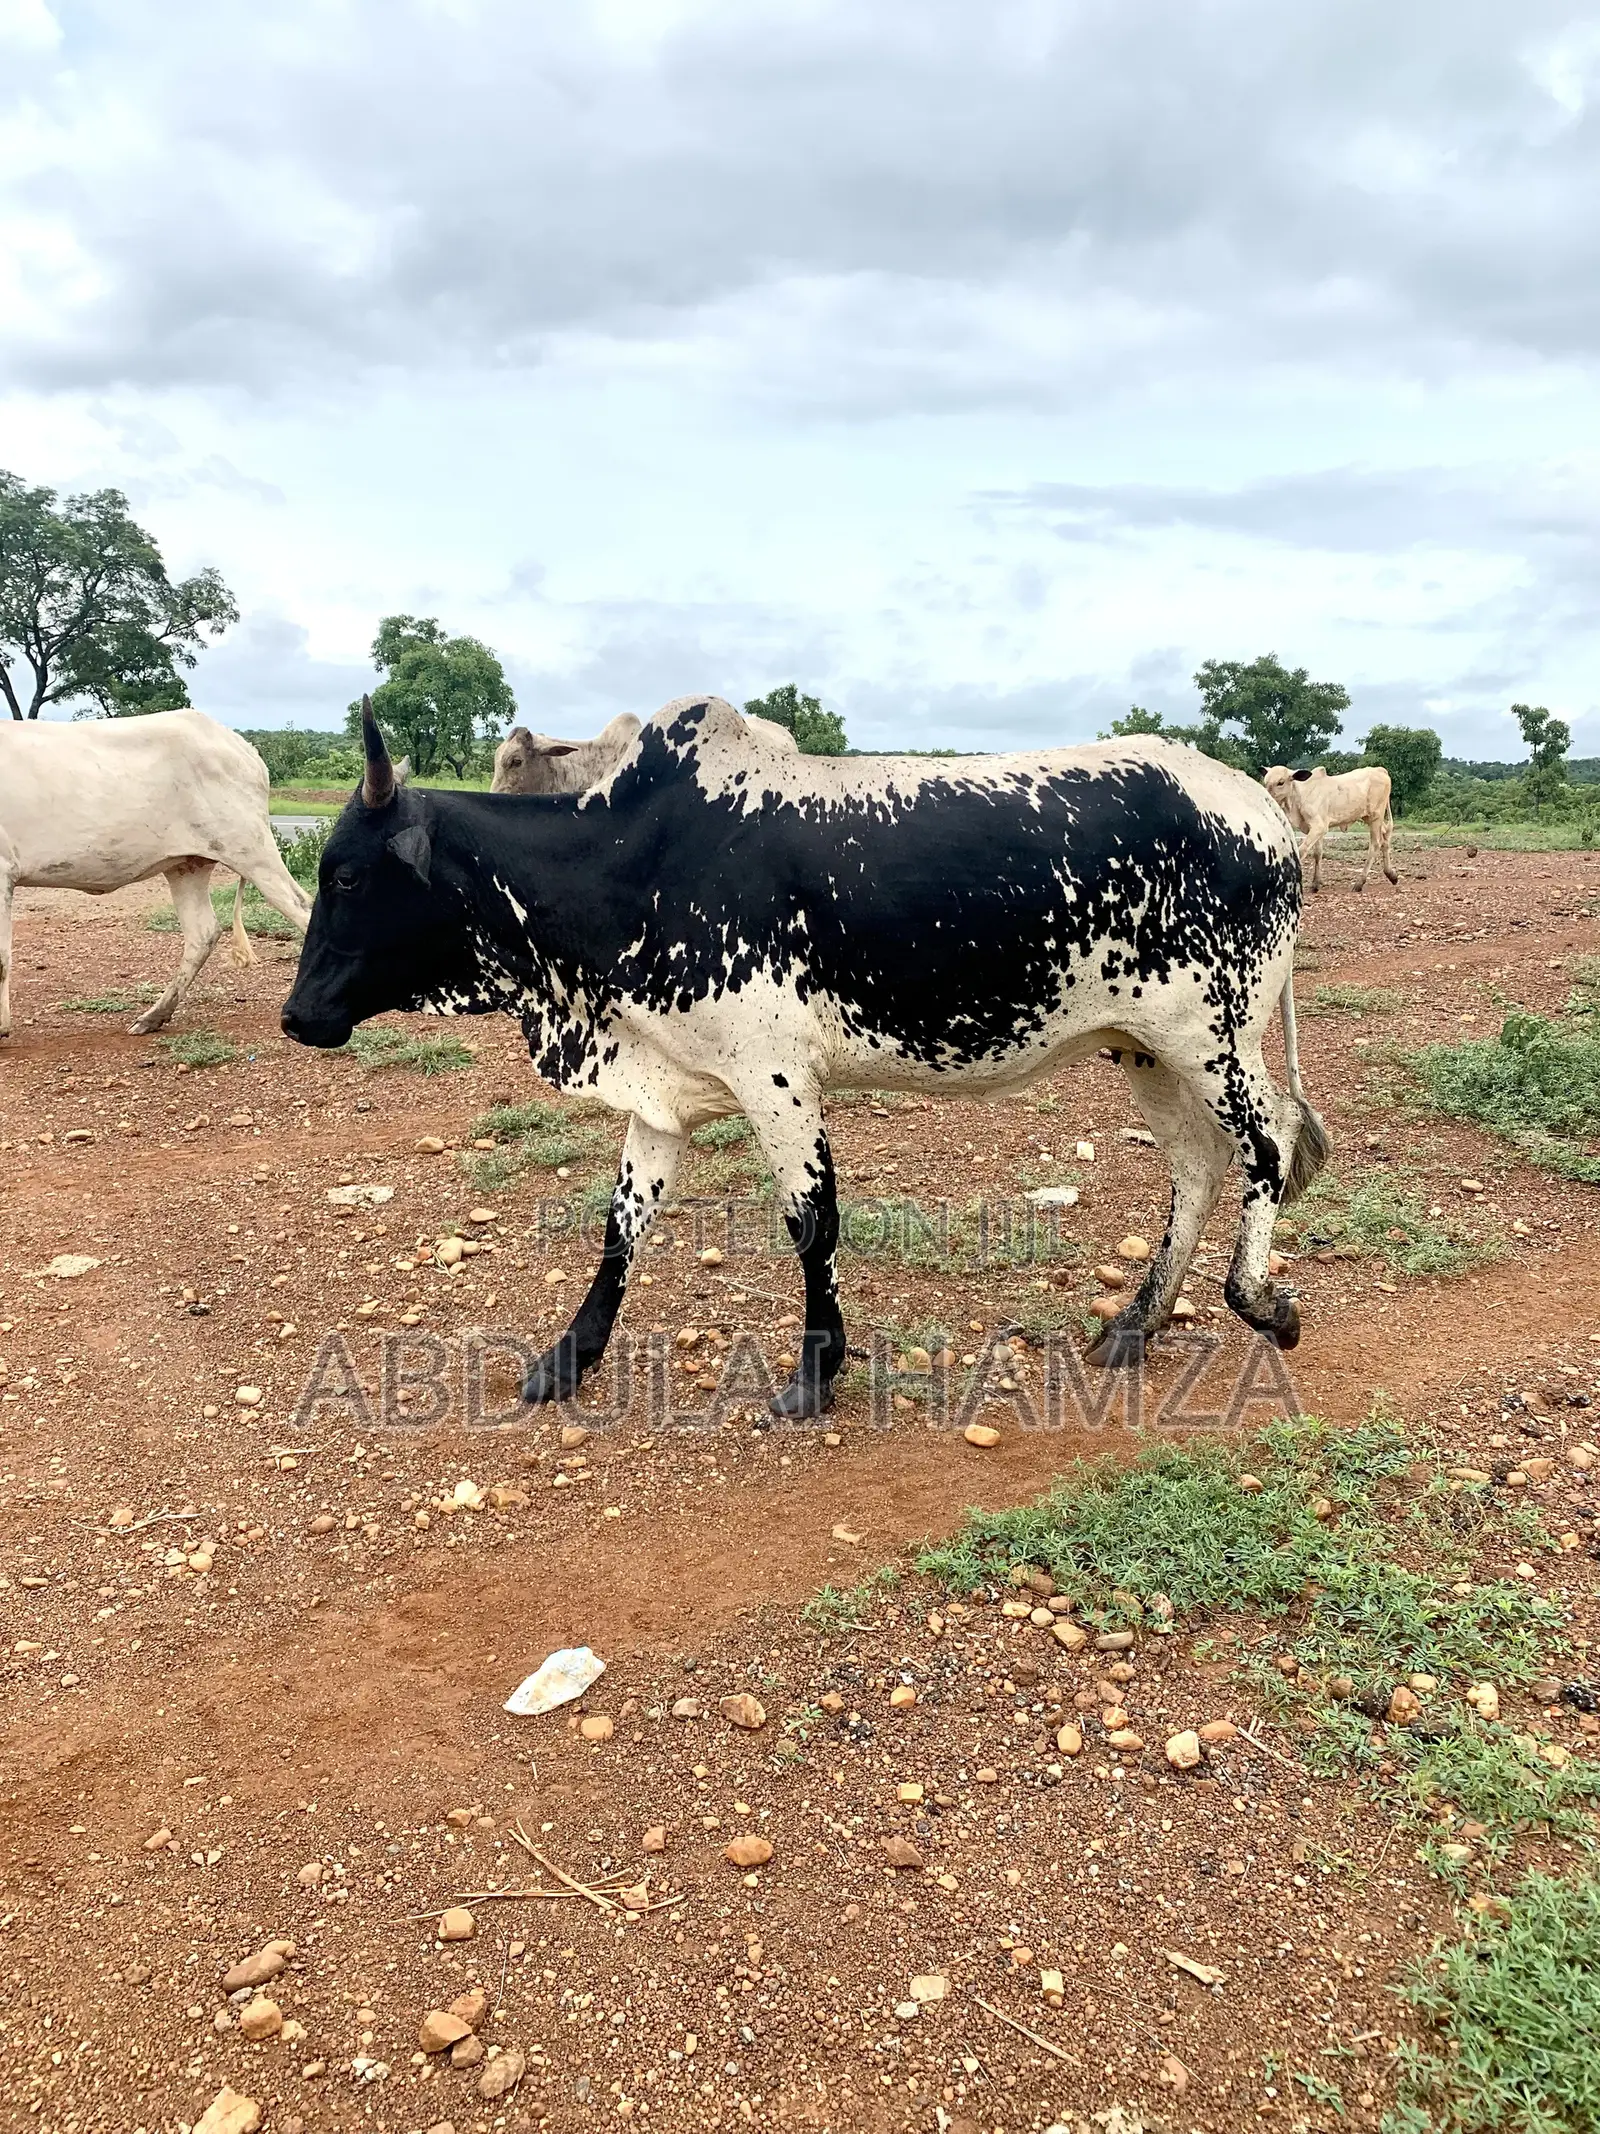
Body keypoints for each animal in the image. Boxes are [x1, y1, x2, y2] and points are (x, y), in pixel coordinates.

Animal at [0, 710, 314, 1038]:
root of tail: (246, 749)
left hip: (252, 850)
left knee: (302, 908)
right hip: (188, 865)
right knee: (203, 933)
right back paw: (154, 1016)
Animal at [1263, 763, 1398, 892]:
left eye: (1280, 782)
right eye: (1265, 782)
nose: (1266, 798)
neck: (1299, 795)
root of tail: (1379, 770)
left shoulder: (1319, 826)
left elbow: (1301, 851)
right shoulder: (1316, 829)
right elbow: (1317, 853)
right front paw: (1316, 884)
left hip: (1376, 816)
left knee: (1375, 844)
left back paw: (1360, 883)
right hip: (1369, 817)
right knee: (1385, 835)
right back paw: (1391, 875)